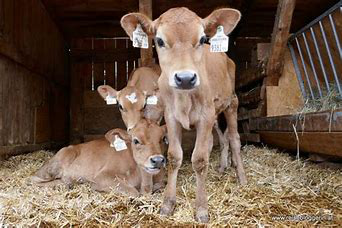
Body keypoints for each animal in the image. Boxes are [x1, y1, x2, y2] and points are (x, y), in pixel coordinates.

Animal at [31, 119, 168, 196]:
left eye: (163, 139)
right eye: (136, 140)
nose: (157, 160)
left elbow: (161, 185)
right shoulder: (102, 176)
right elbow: (134, 192)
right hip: (56, 164)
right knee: (33, 180)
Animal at [121, 6, 247, 221]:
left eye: (203, 39)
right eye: (159, 40)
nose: (185, 78)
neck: (184, 99)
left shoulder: (206, 115)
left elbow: (200, 159)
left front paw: (201, 209)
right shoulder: (171, 117)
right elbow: (174, 156)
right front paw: (167, 204)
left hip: (231, 103)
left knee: (233, 138)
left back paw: (241, 177)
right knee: (219, 139)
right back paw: (222, 167)